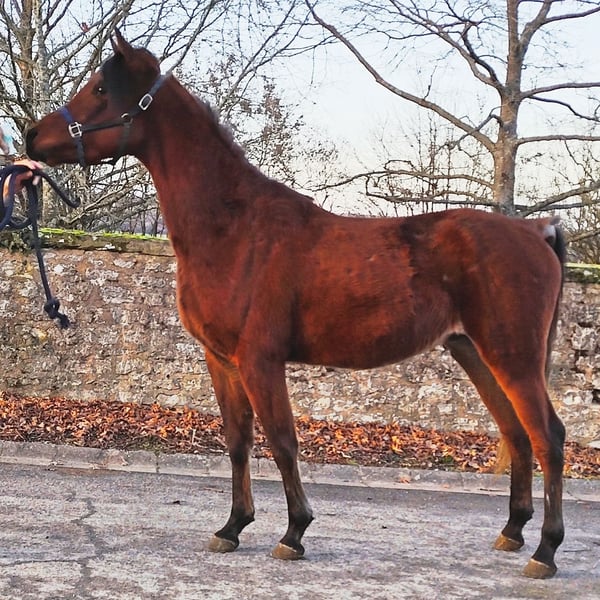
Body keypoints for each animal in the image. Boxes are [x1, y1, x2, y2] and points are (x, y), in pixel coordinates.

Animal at [26, 30, 566, 579]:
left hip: (512, 357)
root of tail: (534, 231)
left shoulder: (260, 360)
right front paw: (232, 527)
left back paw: (545, 551)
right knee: (517, 433)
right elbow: (238, 442)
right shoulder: (222, 360)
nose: (30, 137)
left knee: (548, 436)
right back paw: (513, 531)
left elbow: (282, 442)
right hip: (474, 352)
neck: (235, 230)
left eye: (99, 89)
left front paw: (293, 532)